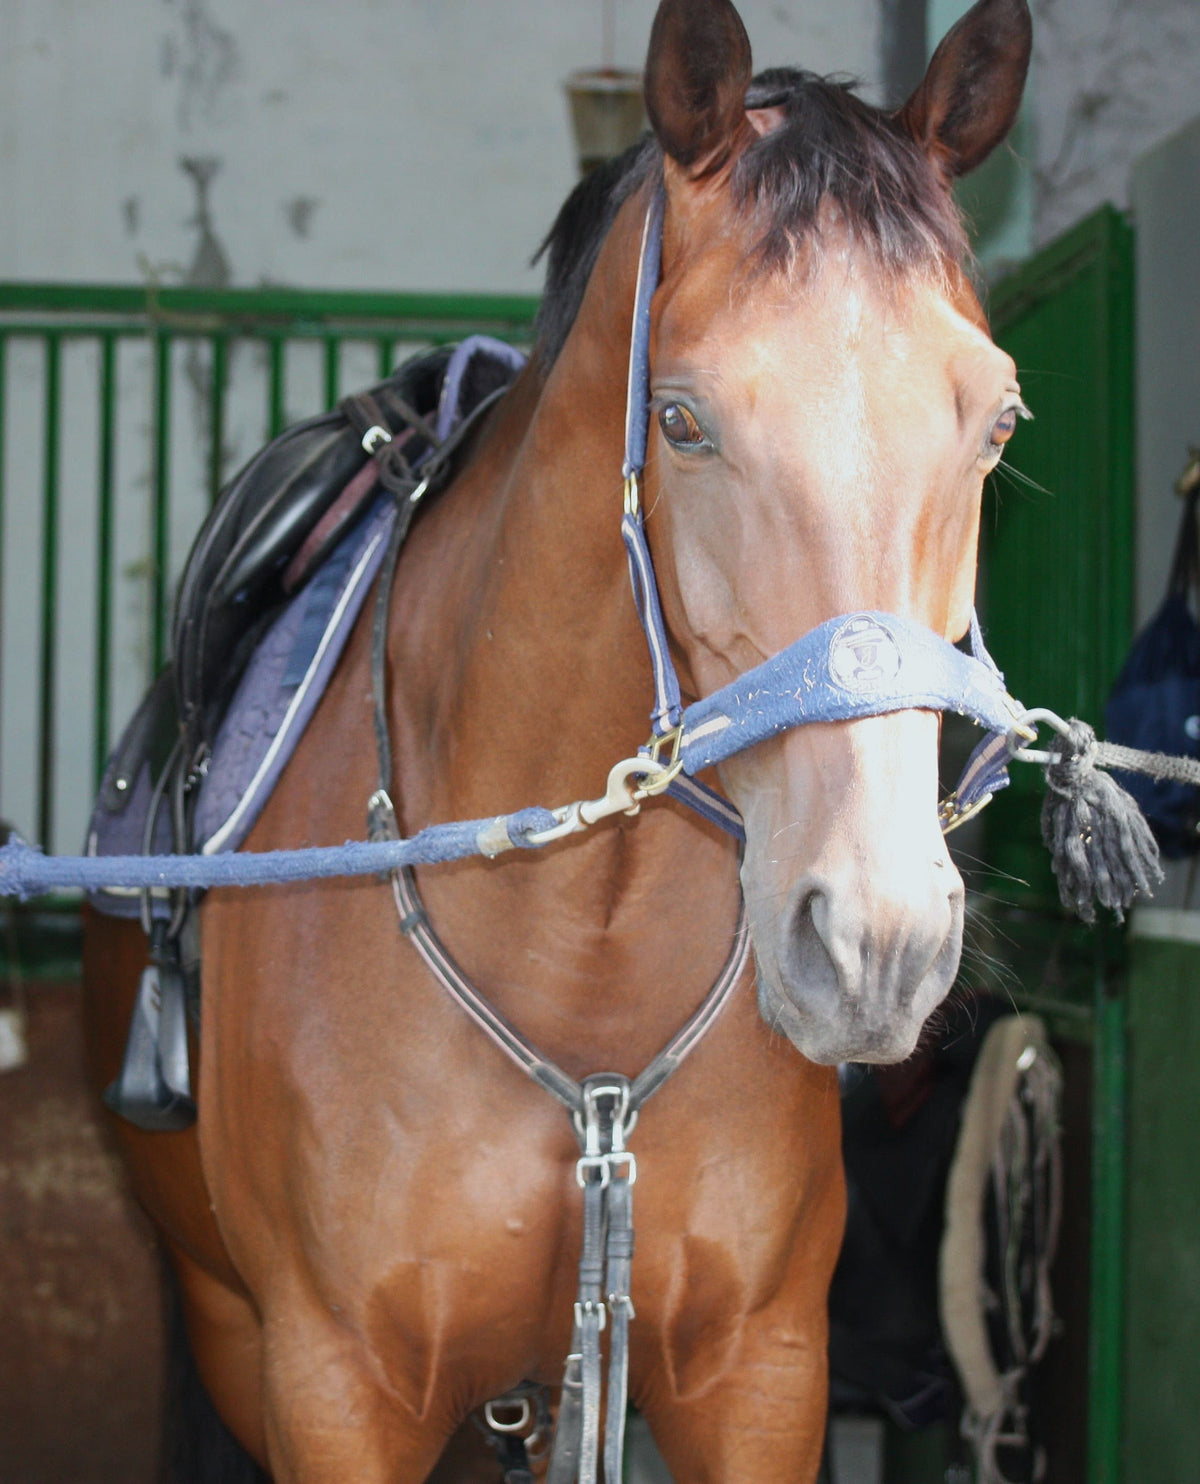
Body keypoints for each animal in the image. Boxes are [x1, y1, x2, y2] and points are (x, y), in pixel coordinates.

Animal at [81, 0, 1032, 1478]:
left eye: (995, 420)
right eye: (682, 419)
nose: (876, 942)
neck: (579, 955)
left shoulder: (760, 1369)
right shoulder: (331, 1382)